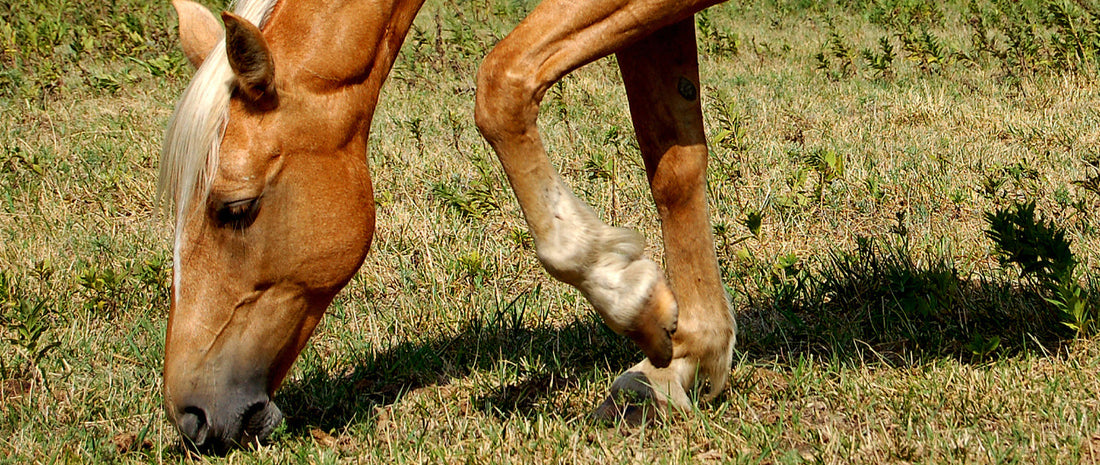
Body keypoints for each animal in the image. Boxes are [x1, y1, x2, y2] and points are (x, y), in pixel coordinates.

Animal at [161, 0, 735, 452]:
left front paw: (627, 295)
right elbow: (672, 165)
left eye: (236, 208)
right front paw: (682, 361)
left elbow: (500, 84)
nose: (192, 416)